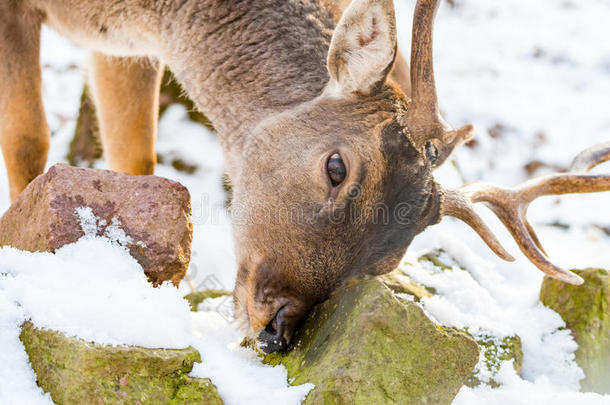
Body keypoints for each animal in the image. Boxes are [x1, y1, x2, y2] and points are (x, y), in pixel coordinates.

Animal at [1, 0, 608, 352]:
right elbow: (29, 139)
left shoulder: (121, 45)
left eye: (389, 262)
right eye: (336, 167)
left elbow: (136, 158)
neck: (144, 11)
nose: (276, 332)